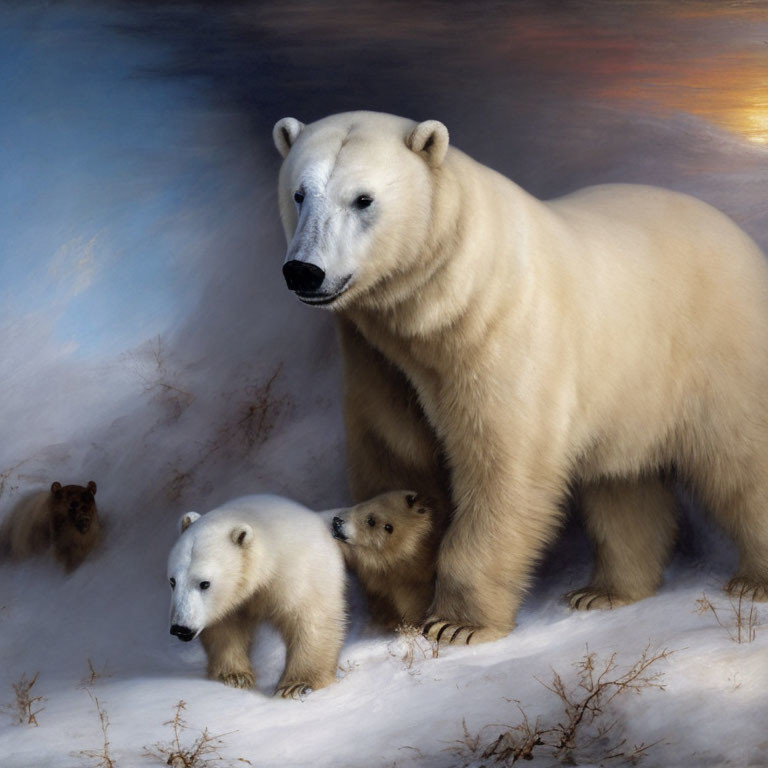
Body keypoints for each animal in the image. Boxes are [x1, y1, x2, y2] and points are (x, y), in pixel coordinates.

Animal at [171, 496, 348, 700]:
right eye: (172, 581)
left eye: (204, 583)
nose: (180, 628)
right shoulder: (232, 601)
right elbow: (226, 629)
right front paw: (235, 676)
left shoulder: (300, 575)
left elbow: (311, 620)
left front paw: (298, 685)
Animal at [272, 111, 768, 644]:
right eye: (300, 193)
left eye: (363, 199)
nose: (303, 271)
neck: (445, 295)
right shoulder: (378, 360)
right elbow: (397, 457)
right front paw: (396, 610)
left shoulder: (497, 338)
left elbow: (503, 466)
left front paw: (456, 624)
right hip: (630, 390)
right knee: (621, 484)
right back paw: (605, 591)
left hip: (717, 354)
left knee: (740, 459)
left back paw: (752, 581)